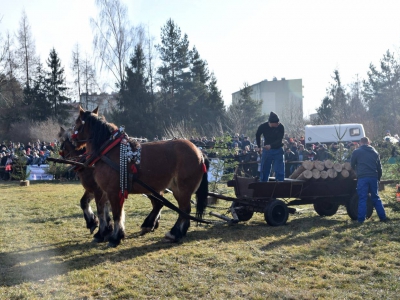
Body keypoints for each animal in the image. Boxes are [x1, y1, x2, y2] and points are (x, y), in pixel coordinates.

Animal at [73, 106, 209, 247]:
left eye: (77, 123)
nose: (72, 141)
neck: (108, 150)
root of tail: (200, 152)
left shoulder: (113, 191)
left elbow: (116, 214)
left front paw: (115, 237)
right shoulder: (104, 190)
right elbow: (102, 210)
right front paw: (104, 232)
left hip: (183, 189)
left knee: (184, 210)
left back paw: (174, 233)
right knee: (181, 210)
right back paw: (176, 232)